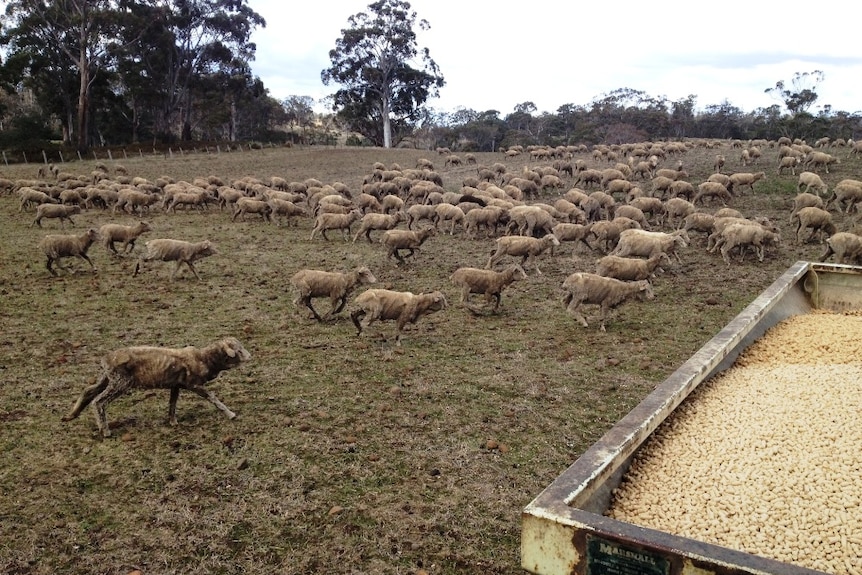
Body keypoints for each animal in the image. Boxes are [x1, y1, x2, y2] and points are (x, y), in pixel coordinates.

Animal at [59, 336, 250, 438]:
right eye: (238, 350)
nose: (250, 357)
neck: (205, 358)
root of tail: (105, 360)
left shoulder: (176, 384)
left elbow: (172, 403)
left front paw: (172, 422)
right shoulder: (193, 384)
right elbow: (212, 397)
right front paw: (231, 414)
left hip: (108, 378)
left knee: (89, 391)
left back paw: (70, 416)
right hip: (120, 382)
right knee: (99, 401)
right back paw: (105, 430)